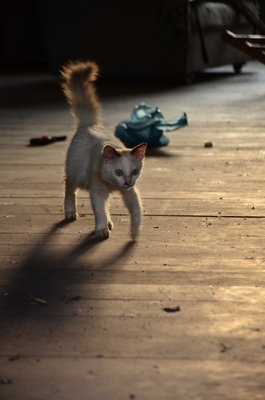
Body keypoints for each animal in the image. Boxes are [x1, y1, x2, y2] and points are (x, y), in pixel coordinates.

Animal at [60, 61, 146, 239]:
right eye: (118, 172)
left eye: (134, 171)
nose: (127, 181)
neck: (112, 184)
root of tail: (89, 124)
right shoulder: (97, 191)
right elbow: (99, 211)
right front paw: (101, 230)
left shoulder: (130, 192)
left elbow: (136, 210)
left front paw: (134, 232)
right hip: (76, 174)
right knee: (69, 185)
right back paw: (70, 212)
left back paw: (109, 222)